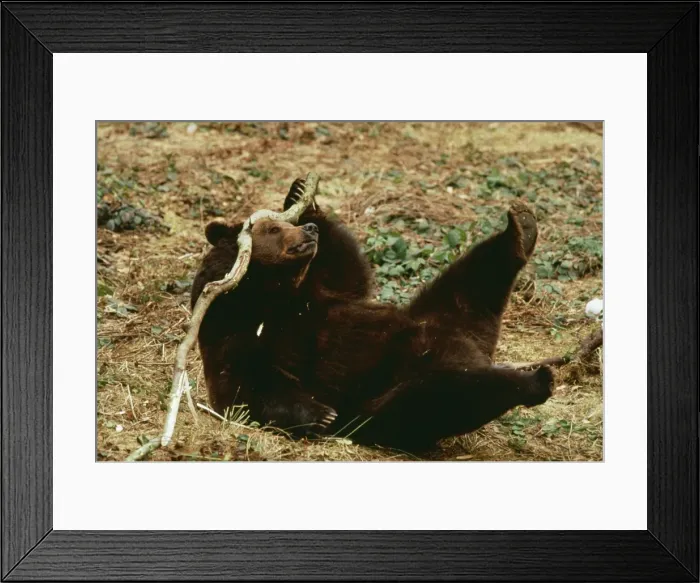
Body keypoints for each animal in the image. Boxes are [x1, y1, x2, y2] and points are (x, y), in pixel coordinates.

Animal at [191, 177, 554, 452]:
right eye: (273, 230)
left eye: (284, 222)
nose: (308, 230)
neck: (270, 293)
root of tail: (476, 349)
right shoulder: (235, 335)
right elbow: (248, 391)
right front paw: (320, 414)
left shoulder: (320, 293)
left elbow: (350, 269)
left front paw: (303, 196)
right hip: (387, 394)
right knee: (443, 396)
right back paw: (535, 379)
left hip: (441, 313)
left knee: (475, 277)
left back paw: (522, 227)